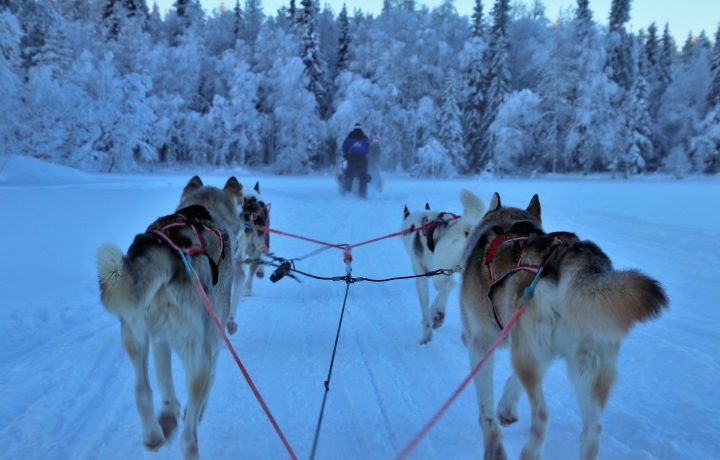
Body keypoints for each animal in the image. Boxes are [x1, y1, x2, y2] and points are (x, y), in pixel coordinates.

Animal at [97, 175, 243, 460]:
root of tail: (170, 251)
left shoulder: (159, 340)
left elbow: (164, 383)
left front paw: (168, 414)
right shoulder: (213, 342)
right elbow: (210, 382)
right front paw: (193, 412)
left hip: (134, 336)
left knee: (142, 391)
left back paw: (154, 434)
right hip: (196, 354)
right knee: (189, 437)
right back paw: (188, 440)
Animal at [402, 189, 486, 344]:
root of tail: (466, 227)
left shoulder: (422, 278)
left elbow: (427, 308)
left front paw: (426, 334)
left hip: (440, 271)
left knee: (445, 287)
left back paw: (439, 314)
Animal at [458, 193, 668, 460]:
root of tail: (571, 260)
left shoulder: (483, 344)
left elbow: (486, 410)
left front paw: (494, 444)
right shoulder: (530, 348)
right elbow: (512, 382)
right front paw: (506, 408)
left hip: (529, 355)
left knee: (542, 415)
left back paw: (530, 452)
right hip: (586, 366)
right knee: (593, 428)